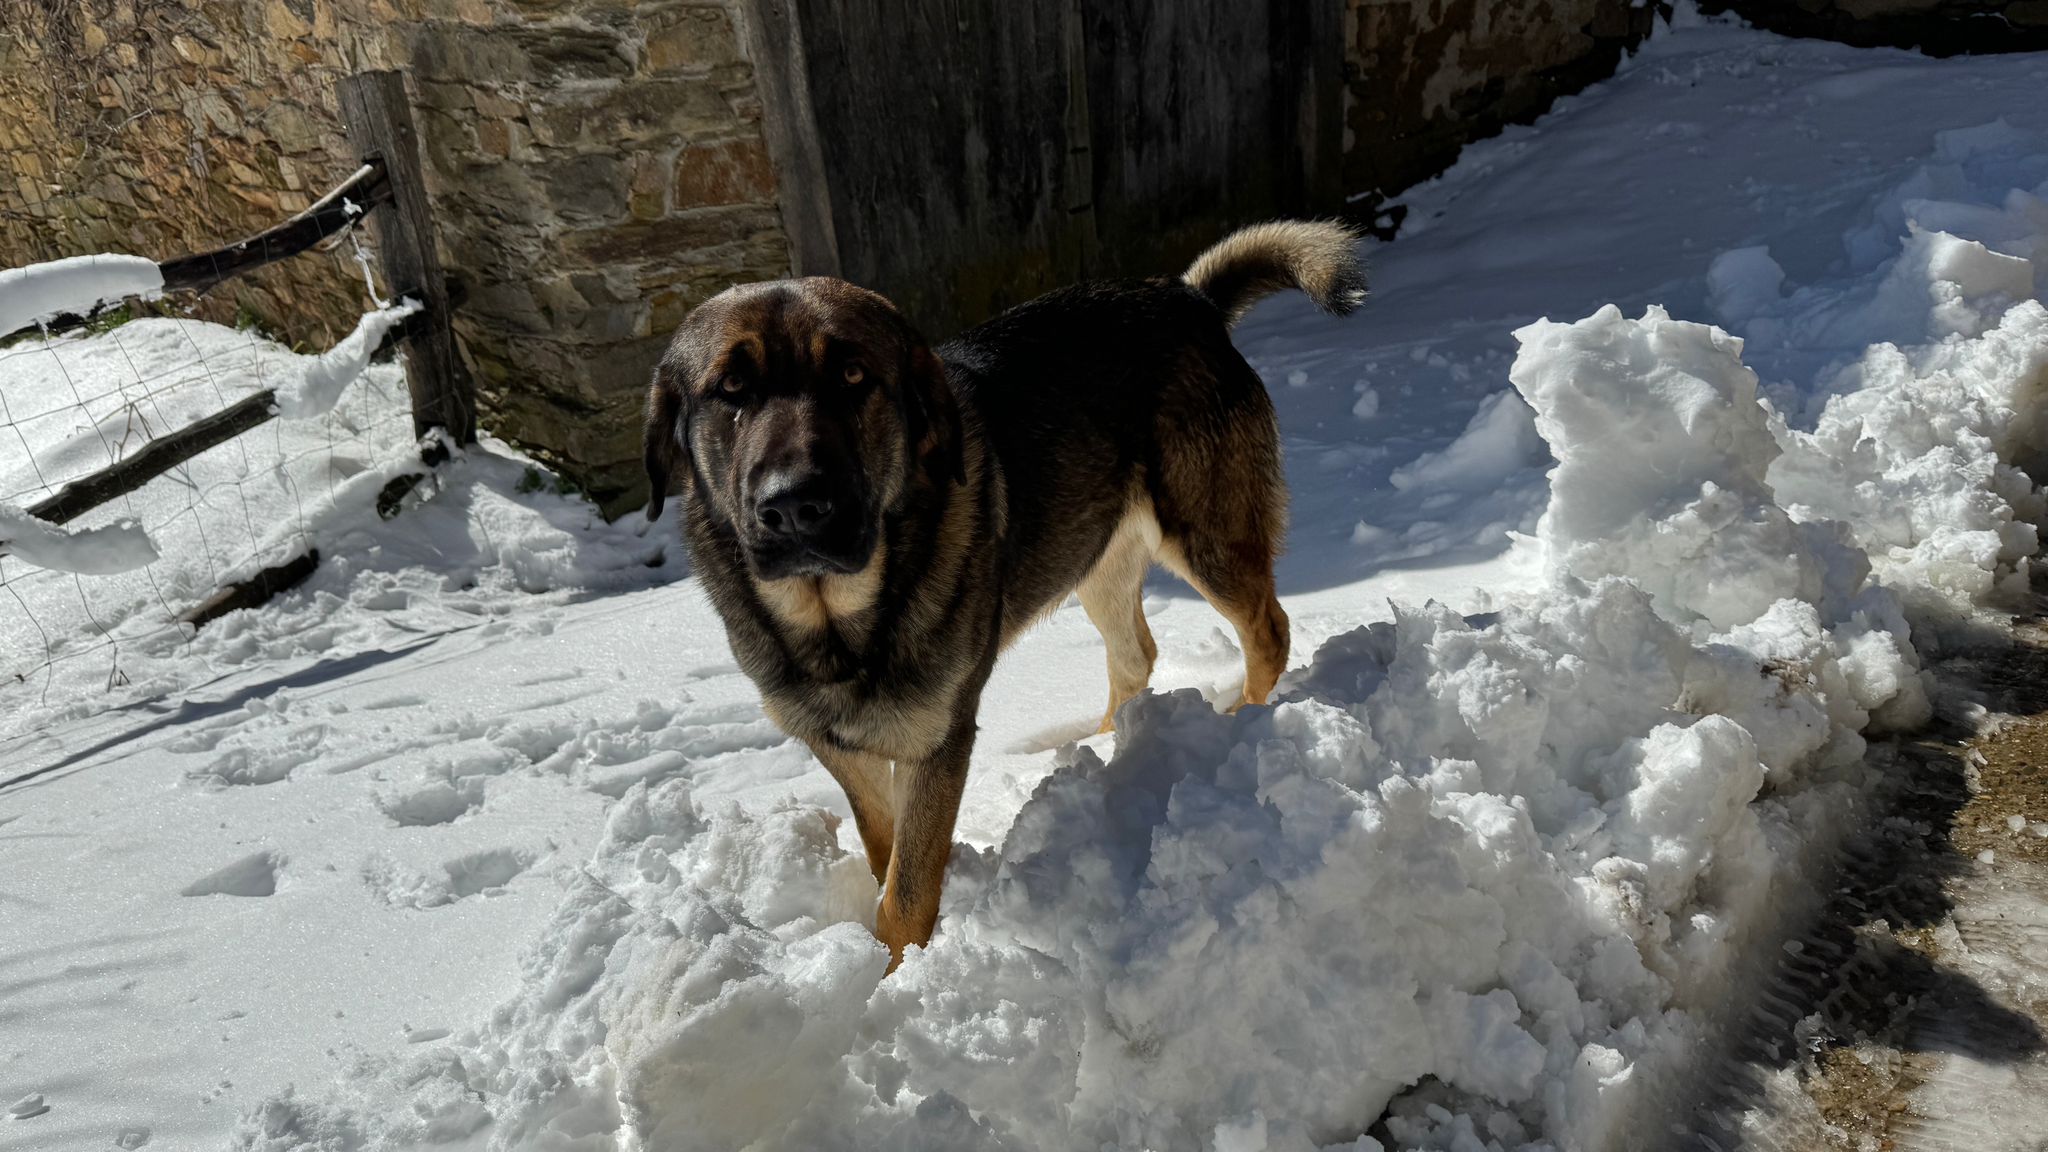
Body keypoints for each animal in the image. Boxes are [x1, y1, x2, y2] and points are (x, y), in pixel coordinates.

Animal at [647, 217, 1368, 959]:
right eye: (730, 387)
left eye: (853, 375)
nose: (795, 506)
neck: (834, 619)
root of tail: (1190, 300)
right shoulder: (830, 738)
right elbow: (882, 839)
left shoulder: (939, 738)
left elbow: (909, 889)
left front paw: (896, 974)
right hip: (1094, 556)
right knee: (1135, 654)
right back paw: (1105, 745)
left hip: (1205, 531)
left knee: (1267, 630)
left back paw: (1238, 723)